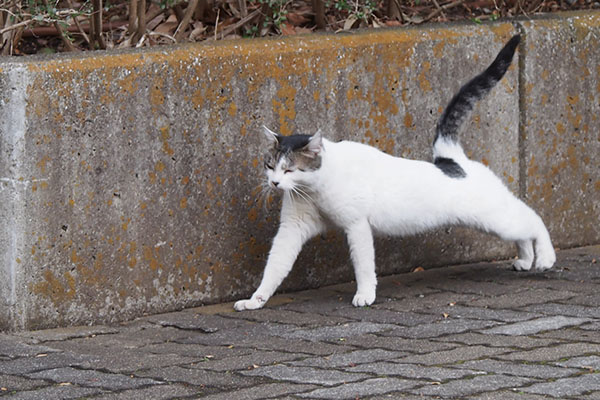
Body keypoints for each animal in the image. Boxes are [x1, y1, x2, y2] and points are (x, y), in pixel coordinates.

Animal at [234, 33, 556, 310]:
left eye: (290, 169)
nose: (275, 183)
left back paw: (545, 258)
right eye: (270, 166)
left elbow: (363, 266)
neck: (315, 189)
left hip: (494, 217)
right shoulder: (293, 228)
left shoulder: (357, 226)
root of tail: (451, 158)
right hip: (491, 221)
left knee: (533, 218)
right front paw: (256, 300)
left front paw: (365, 295)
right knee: (523, 229)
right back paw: (525, 259)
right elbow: (275, 266)